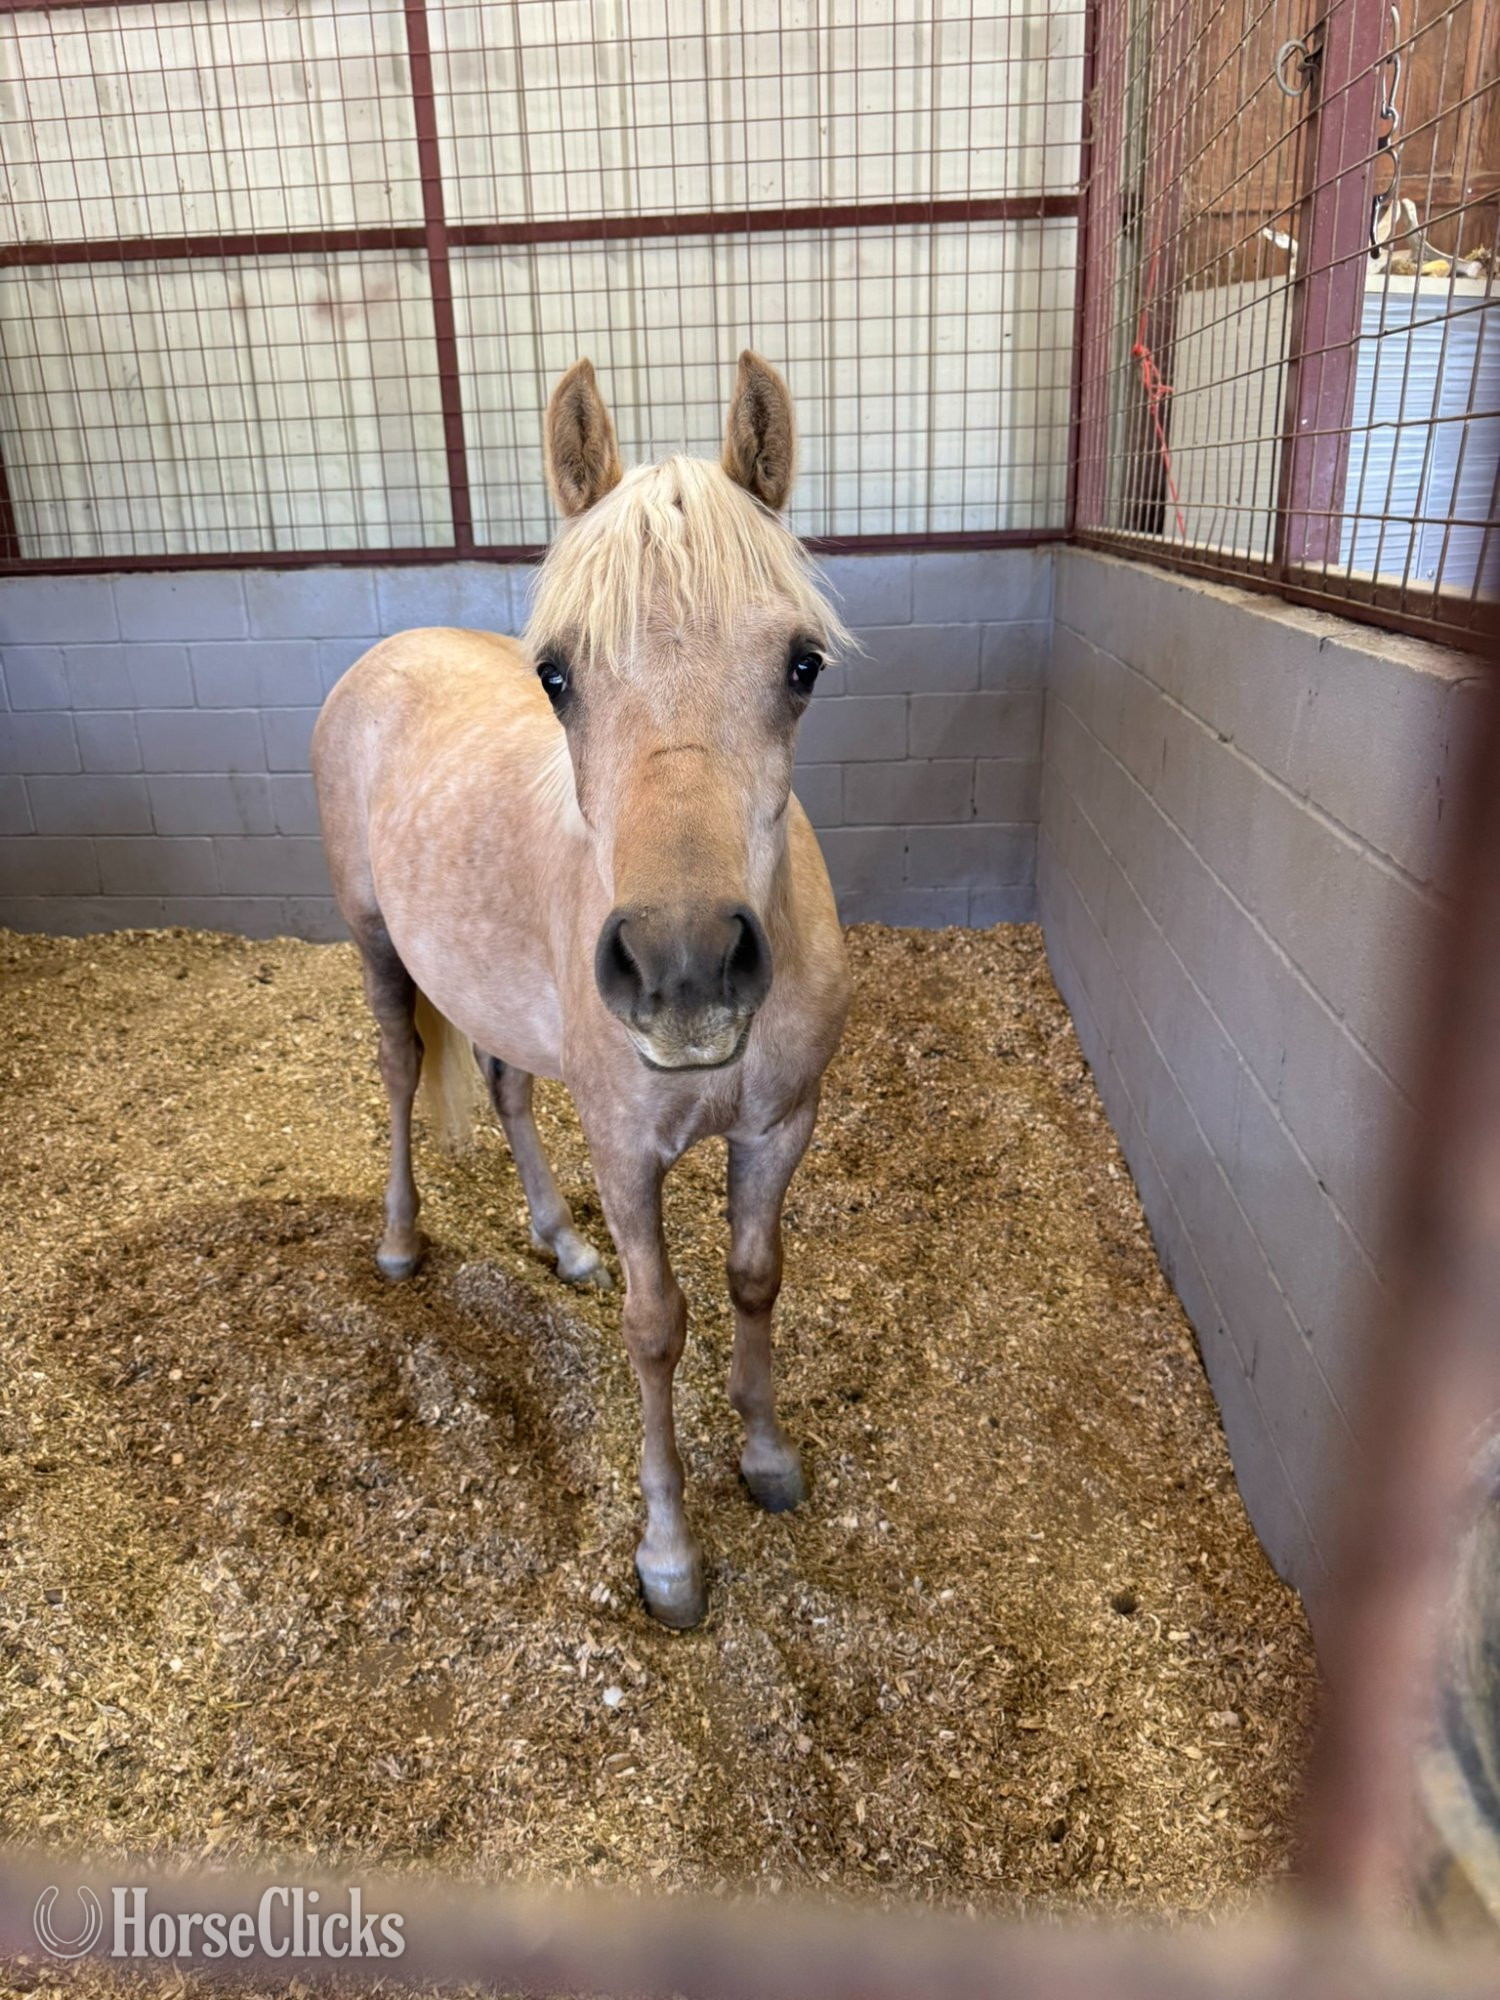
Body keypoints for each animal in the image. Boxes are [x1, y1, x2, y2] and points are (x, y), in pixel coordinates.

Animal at [312, 352, 853, 1628]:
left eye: (801, 665)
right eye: (556, 675)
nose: (683, 967)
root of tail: (386, 656)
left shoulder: (779, 1127)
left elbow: (755, 1279)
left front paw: (765, 1456)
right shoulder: (626, 1151)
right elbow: (656, 1328)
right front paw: (668, 1552)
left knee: (506, 1090)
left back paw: (558, 1242)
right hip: (376, 946)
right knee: (402, 1074)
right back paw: (400, 1241)